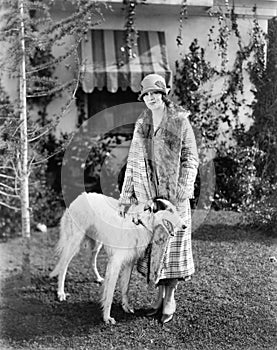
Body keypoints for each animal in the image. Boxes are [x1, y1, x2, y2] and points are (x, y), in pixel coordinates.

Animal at [49, 193, 183, 324]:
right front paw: (107, 317)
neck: (139, 222)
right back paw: (61, 292)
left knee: (91, 260)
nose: (185, 226)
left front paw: (126, 307)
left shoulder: (129, 262)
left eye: (175, 209)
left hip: (97, 243)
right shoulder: (115, 263)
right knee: (64, 265)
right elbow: (110, 293)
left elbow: (125, 287)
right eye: (169, 210)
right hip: (75, 242)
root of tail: (80, 196)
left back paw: (98, 278)